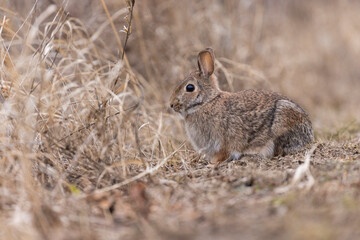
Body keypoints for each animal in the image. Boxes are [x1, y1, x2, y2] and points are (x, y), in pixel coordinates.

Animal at [170, 47, 314, 163]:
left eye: (190, 87)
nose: (171, 104)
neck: (206, 102)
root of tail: (309, 134)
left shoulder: (221, 142)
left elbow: (222, 154)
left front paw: (213, 164)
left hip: (282, 121)